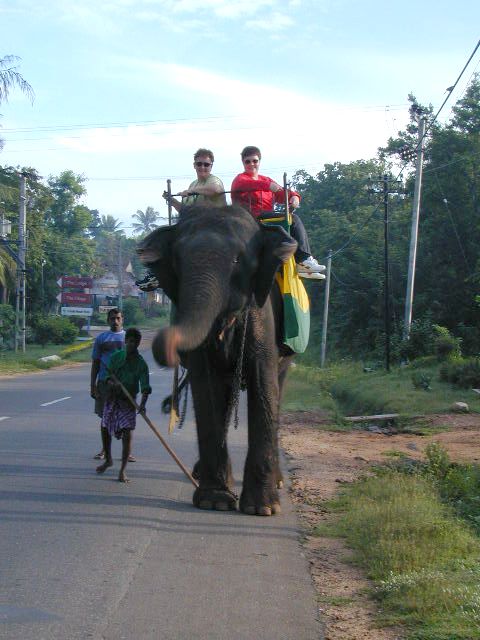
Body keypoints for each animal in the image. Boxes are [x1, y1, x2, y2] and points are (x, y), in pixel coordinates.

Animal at [137, 204, 298, 516]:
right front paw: (215, 502)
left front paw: (262, 509)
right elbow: (207, 388)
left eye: (238, 260)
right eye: (179, 262)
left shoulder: (262, 315)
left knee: (279, 386)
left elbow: (263, 384)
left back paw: (278, 483)